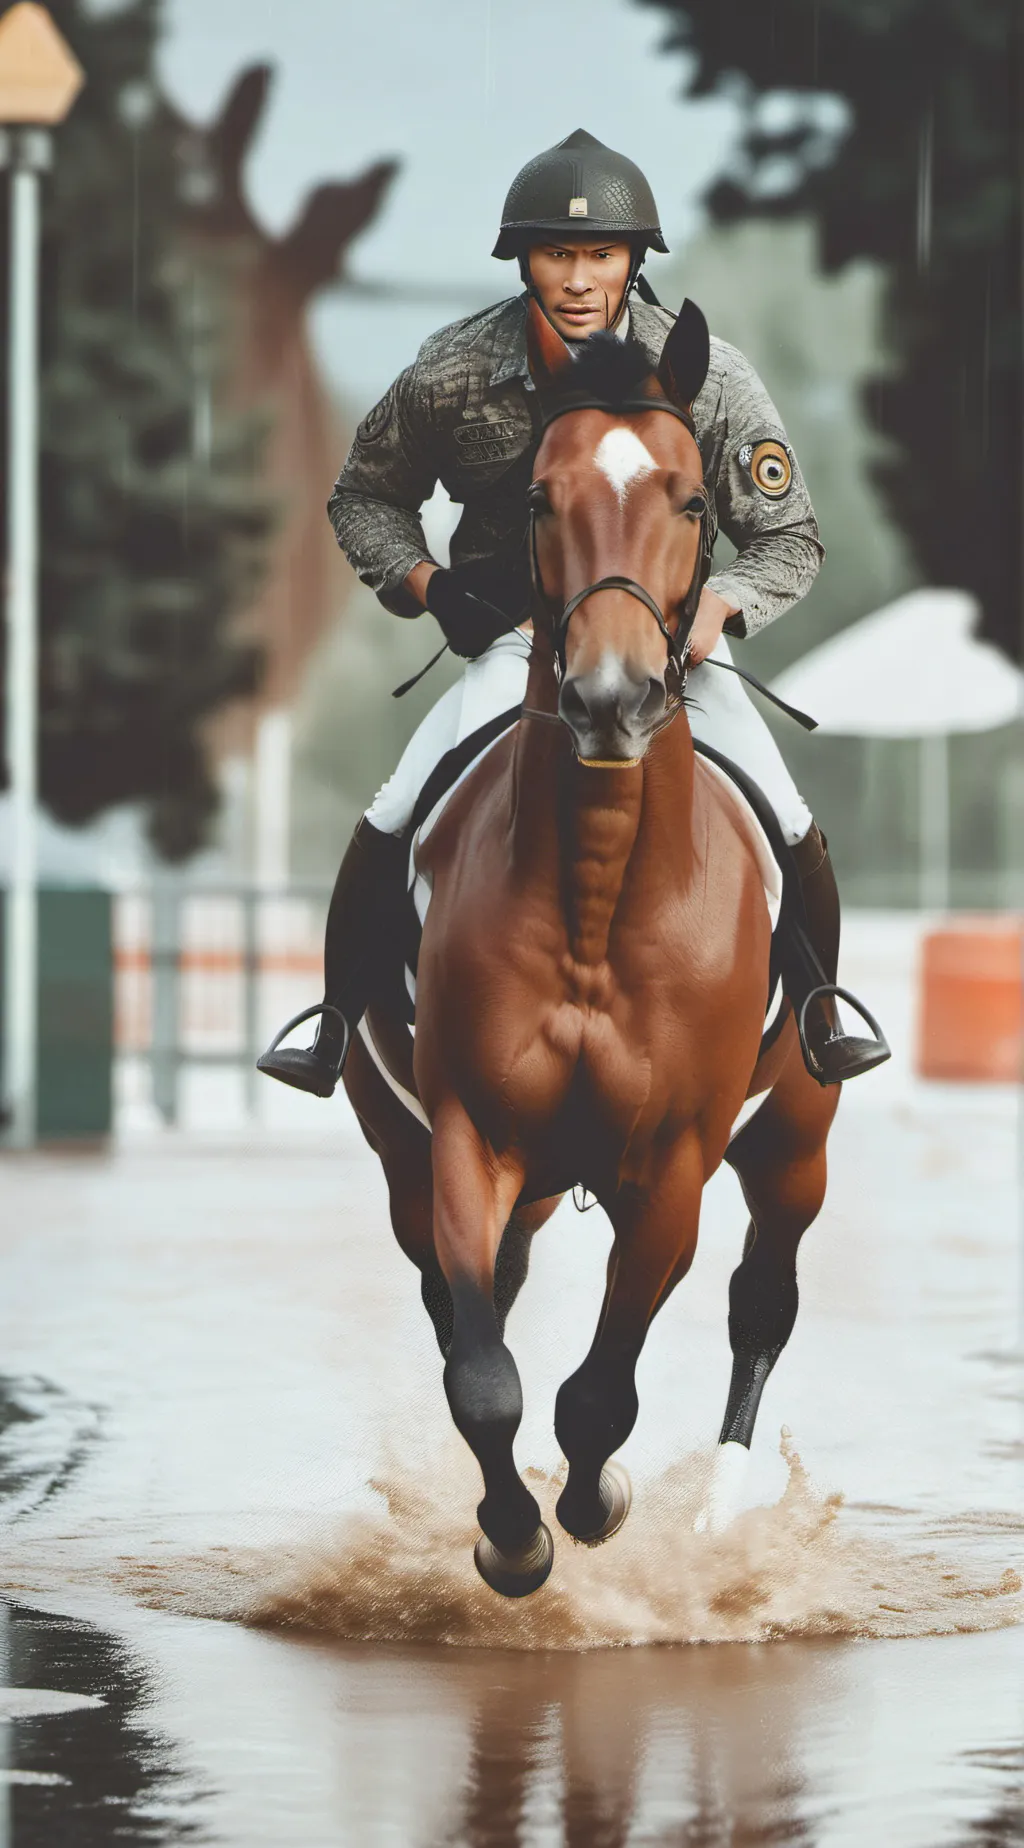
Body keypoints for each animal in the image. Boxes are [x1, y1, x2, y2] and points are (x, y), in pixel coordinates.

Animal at [342, 295, 841, 1598]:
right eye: (535, 496)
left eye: (691, 499)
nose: (610, 698)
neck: (596, 893)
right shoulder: (467, 1143)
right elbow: (484, 1376)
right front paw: (511, 1537)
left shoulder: (670, 1166)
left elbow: (599, 1393)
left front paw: (598, 1499)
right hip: (416, 1160)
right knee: (468, 1306)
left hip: (791, 1141)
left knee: (762, 1302)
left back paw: (716, 1511)